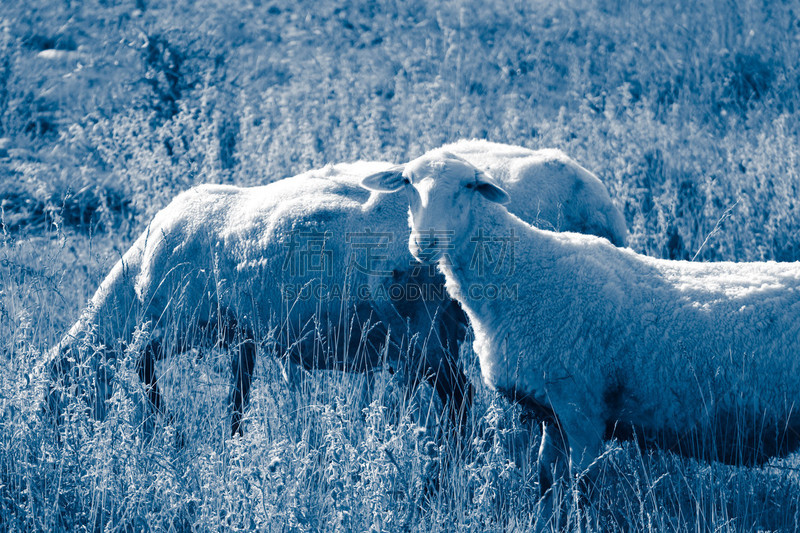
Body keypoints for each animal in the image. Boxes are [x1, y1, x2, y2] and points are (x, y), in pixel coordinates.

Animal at [47, 141, 628, 436]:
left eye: (54, 395)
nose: (50, 443)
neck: (132, 286)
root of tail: (601, 203)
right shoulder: (243, 332)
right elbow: (238, 394)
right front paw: (232, 440)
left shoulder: (177, 323)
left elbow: (142, 369)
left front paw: (168, 427)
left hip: (422, 332)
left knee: (459, 397)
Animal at [360, 147, 800, 512]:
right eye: (408, 182)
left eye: (469, 186)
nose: (425, 244)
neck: (530, 275)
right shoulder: (550, 409)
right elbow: (546, 483)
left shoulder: (582, 405)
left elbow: (585, 488)